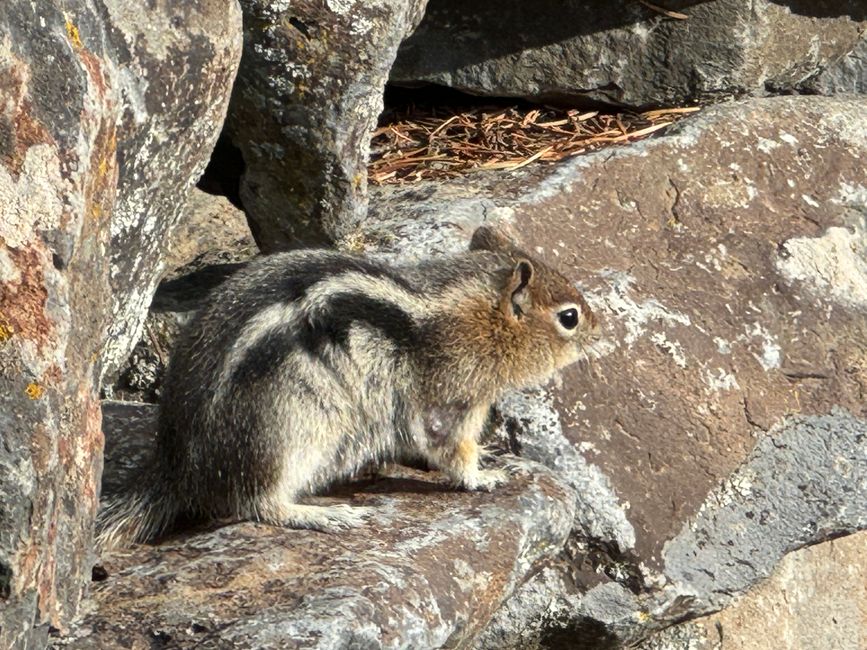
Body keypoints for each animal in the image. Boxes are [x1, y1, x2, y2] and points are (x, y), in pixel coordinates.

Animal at [95, 225, 596, 544]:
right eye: (569, 317)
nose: (600, 329)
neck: (475, 318)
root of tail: (176, 464)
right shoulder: (452, 399)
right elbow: (450, 448)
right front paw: (484, 476)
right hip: (284, 433)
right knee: (253, 503)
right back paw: (322, 514)